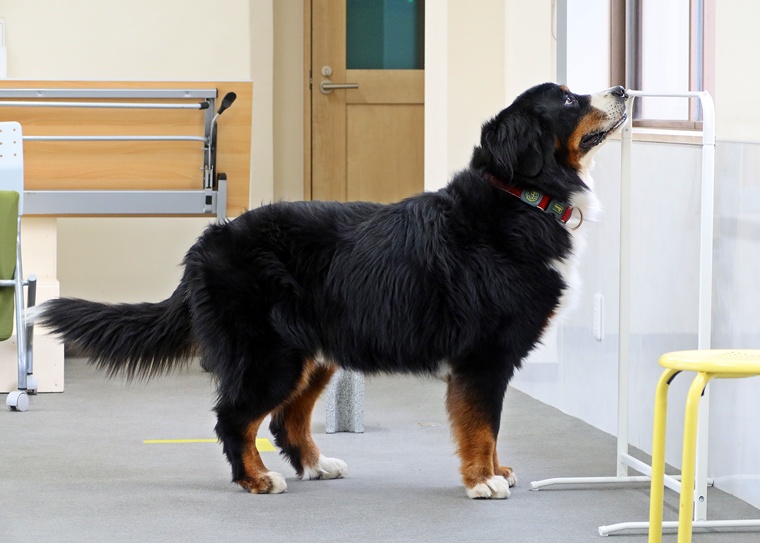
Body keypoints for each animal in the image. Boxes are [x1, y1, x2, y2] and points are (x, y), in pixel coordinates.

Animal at [31, 83, 627, 499]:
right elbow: (482, 424)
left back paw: (317, 465)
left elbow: (490, 426)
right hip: (268, 356)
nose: (622, 89)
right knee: (235, 418)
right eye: (569, 99)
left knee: (284, 419)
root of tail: (211, 238)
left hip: (312, 353)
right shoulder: (484, 356)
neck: (522, 196)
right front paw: (483, 480)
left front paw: (497, 470)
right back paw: (256, 480)